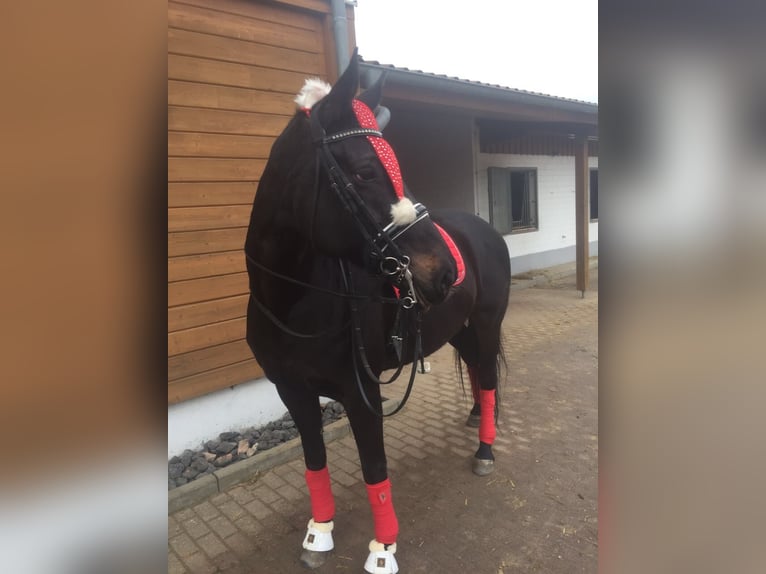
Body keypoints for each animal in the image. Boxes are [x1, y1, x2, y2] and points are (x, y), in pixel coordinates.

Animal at [244, 51, 510, 573]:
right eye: (366, 170)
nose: (443, 271)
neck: (294, 302)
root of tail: (484, 230)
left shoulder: (360, 392)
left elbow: (374, 469)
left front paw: (383, 549)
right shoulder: (293, 392)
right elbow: (313, 461)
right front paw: (319, 532)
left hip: (488, 325)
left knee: (489, 378)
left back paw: (486, 448)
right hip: (461, 329)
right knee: (476, 369)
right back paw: (474, 417)